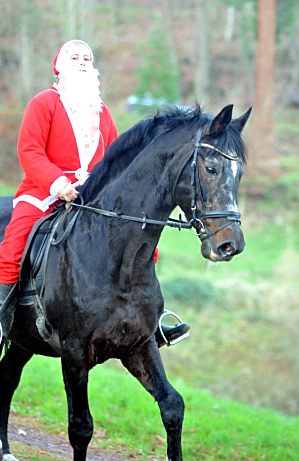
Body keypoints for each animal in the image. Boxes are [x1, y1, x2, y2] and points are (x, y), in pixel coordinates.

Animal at [0, 104, 252, 460]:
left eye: (239, 174)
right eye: (212, 168)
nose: (231, 245)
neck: (118, 260)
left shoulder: (139, 345)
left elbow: (172, 406)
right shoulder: (74, 353)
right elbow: (81, 427)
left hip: (24, 340)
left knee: (6, 378)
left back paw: (6, 448)